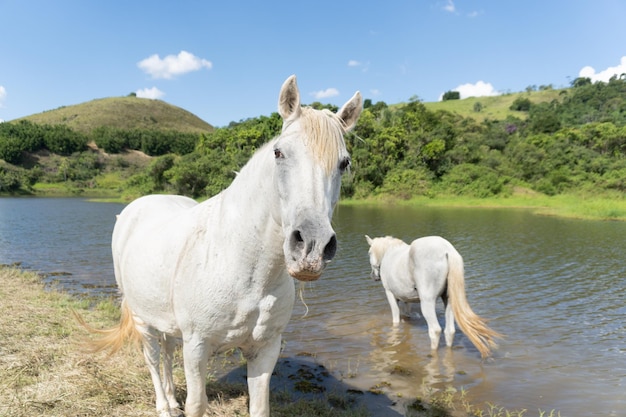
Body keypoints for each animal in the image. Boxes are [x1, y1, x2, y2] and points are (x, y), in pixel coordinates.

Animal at [86, 75, 364, 416]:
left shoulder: (264, 349)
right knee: (152, 358)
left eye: (344, 163)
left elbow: (259, 407)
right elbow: (196, 404)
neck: (242, 268)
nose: (311, 246)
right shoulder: (197, 347)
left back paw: (172, 399)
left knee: (166, 352)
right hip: (142, 319)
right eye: (279, 153)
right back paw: (164, 406)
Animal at [364, 234, 500, 358]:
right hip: (449, 301)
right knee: (449, 331)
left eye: (369, 252)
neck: (389, 253)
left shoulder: (390, 294)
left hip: (427, 302)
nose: (374, 276)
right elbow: (407, 313)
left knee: (435, 330)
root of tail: (447, 250)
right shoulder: (406, 298)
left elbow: (396, 318)